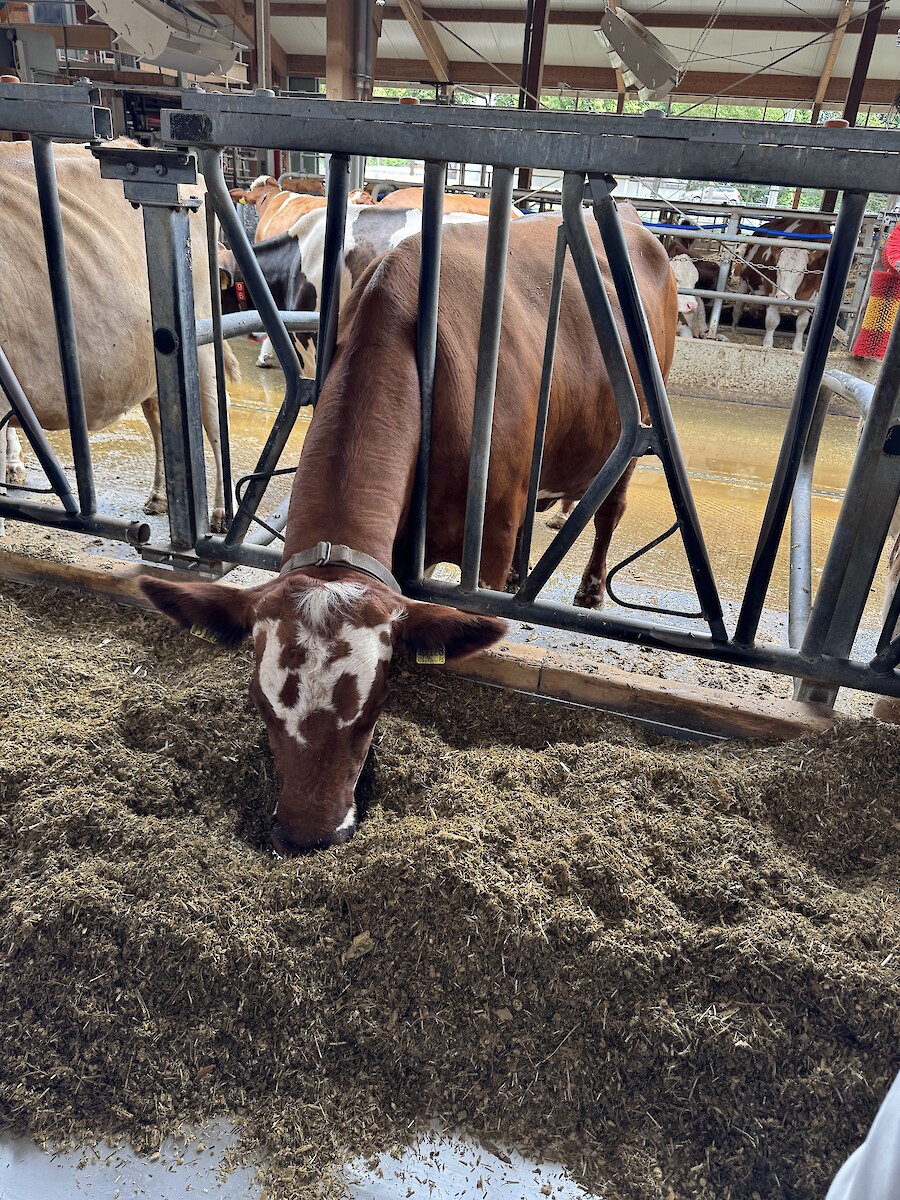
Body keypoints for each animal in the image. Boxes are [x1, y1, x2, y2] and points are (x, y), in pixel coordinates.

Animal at [139, 211, 678, 855]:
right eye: (260, 707)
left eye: (373, 708)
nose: (307, 834)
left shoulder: (489, 536)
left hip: (637, 428)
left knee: (609, 510)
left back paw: (591, 589)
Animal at [732, 217, 831, 351]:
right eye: (778, 267)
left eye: (803, 271)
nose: (783, 297)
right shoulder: (771, 290)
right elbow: (772, 320)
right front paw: (768, 345)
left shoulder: (813, 298)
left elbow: (801, 324)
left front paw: (797, 348)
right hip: (744, 281)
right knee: (738, 307)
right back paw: (734, 330)